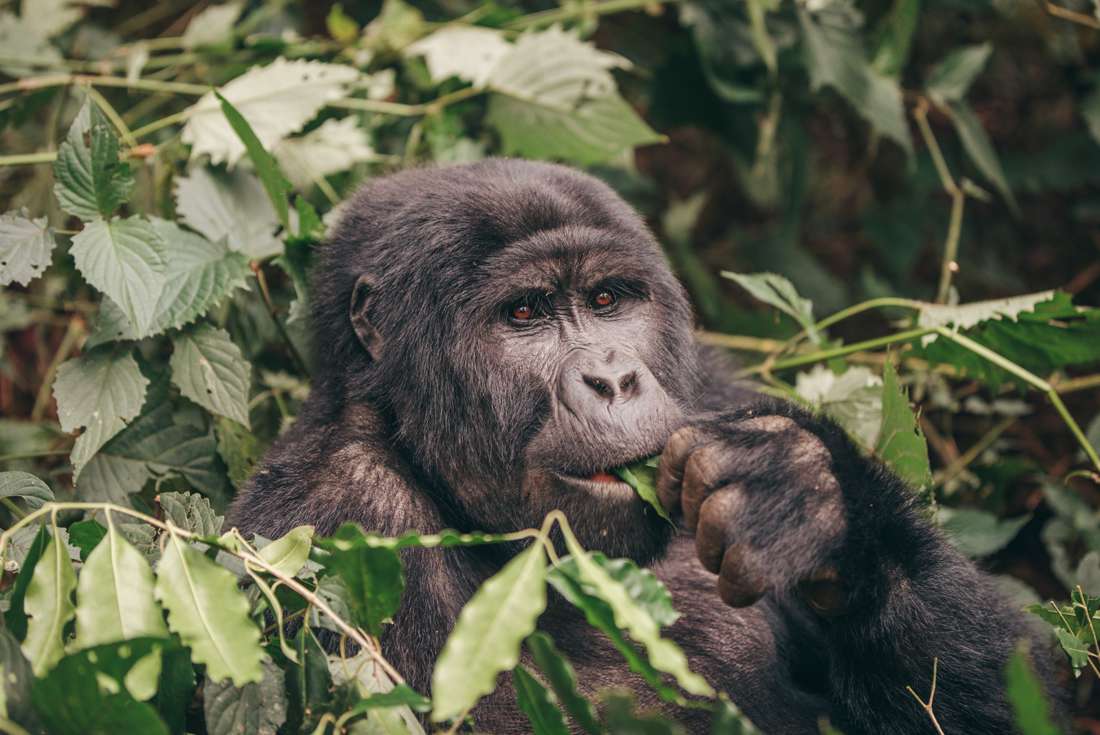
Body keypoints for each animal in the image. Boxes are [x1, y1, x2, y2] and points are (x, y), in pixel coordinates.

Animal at [228, 159, 1063, 733]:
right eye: (524, 313)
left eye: (607, 300)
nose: (614, 376)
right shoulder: (338, 519)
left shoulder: (711, 391)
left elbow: (997, 700)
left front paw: (812, 498)